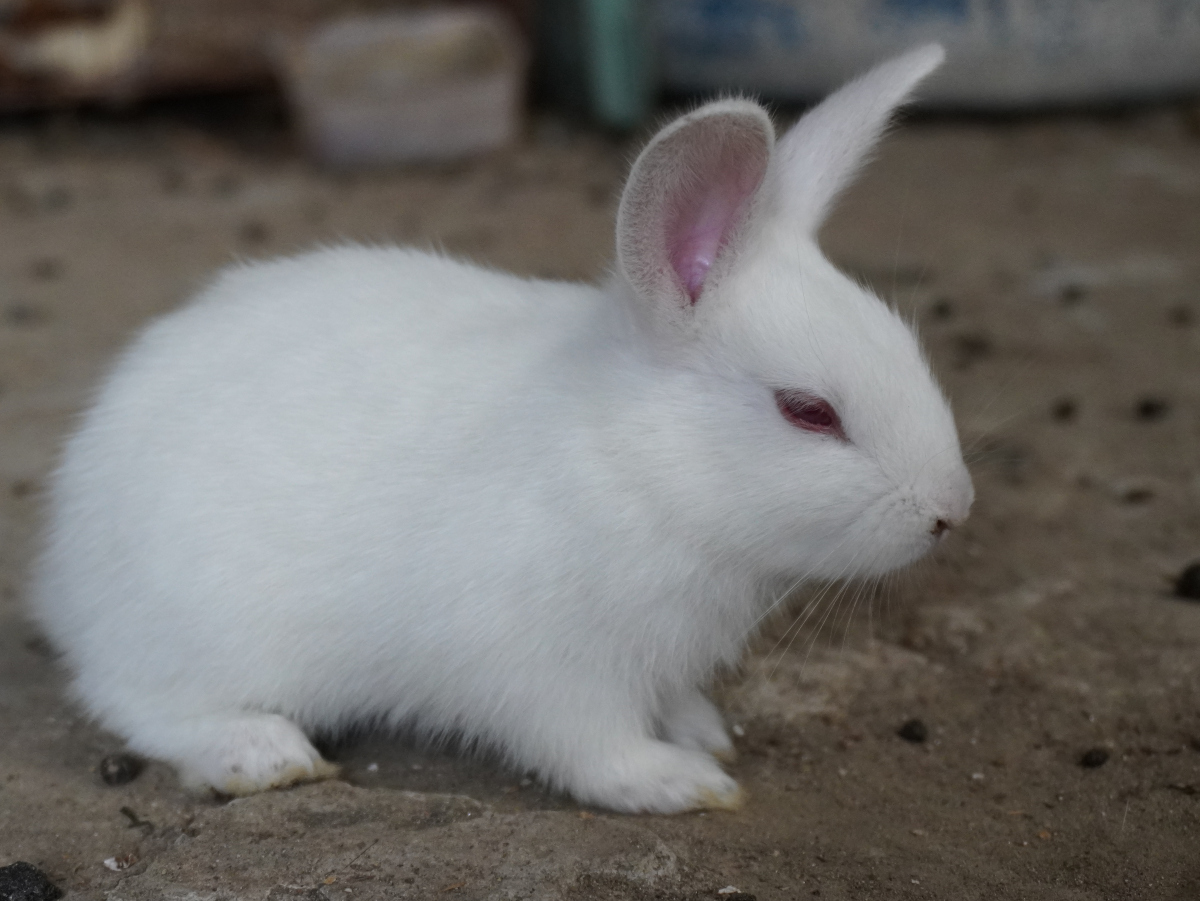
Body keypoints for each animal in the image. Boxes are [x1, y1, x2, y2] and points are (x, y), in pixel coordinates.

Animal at [32, 45, 969, 815]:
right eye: (808, 411)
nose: (949, 513)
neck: (641, 466)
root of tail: (64, 567)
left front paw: (703, 731)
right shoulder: (550, 672)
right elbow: (592, 749)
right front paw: (683, 782)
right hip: (198, 632)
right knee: (134, 701)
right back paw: (262, 752)